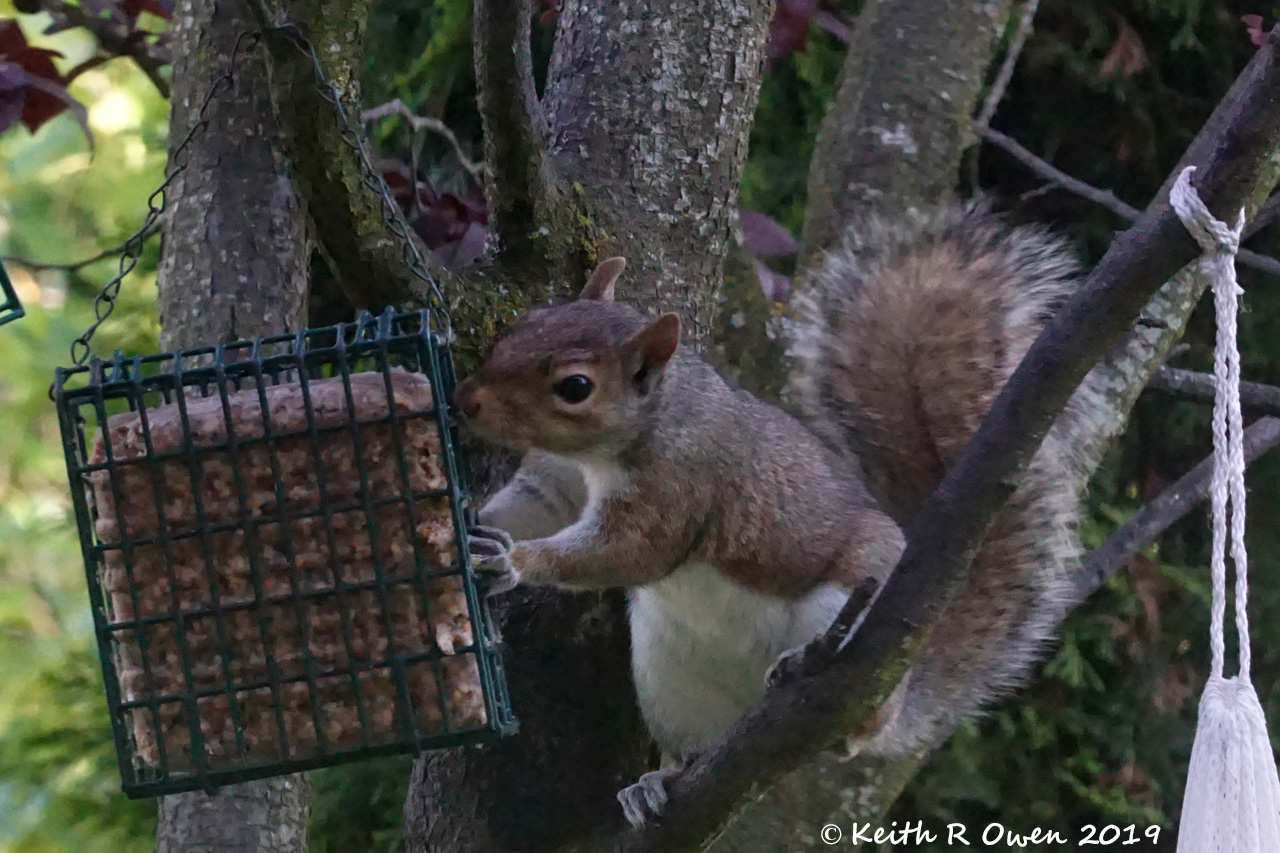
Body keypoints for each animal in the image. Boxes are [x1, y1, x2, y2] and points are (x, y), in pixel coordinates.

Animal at [456, 201, 1089, 827]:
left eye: (575, 387)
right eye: (525, 322)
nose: (467, 401)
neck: (606, 450)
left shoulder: (677, 490)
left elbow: (627, 552)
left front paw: (515, 564)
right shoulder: (556, 482)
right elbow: (533, 505)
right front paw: (476, 532)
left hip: (852, 610)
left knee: (856, 728)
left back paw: (815, 680)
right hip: (670, 677)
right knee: (697, 744)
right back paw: (658, 783)